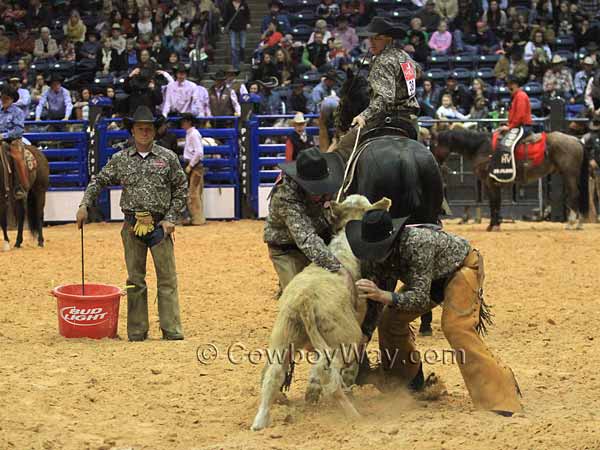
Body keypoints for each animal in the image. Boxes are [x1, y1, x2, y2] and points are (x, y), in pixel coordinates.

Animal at [432, 127, 592, 230]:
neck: (481, 147)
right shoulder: (492, 184)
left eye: (433, 144)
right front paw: (494, 224)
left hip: (569, 174)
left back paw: (571, 223)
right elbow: (495, 203)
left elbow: (494, 203)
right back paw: (578, 223)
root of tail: (576, 140)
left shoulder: (490, 183)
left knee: (574, 194)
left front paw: (493, 225)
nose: (434, 162)